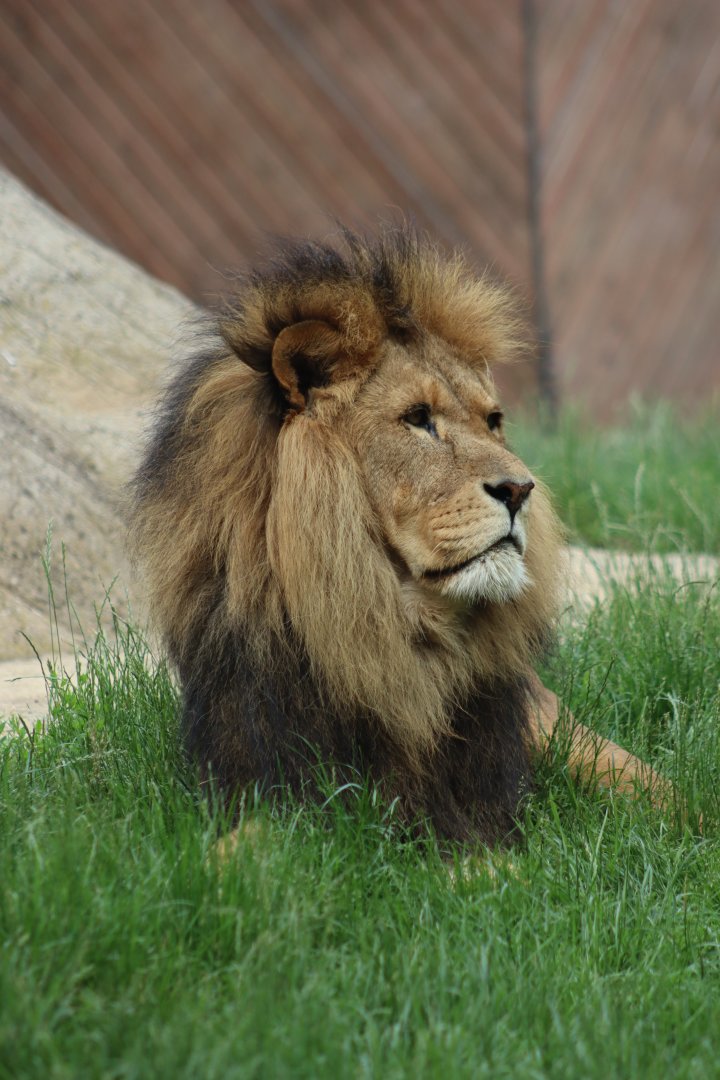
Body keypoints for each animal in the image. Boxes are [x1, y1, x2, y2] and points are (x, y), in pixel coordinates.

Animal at [130, 224, 664, 848]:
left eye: (493, 422)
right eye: (418, 419)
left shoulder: (485, 807)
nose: (520, 489)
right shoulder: (264, 786)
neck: (399, 637)